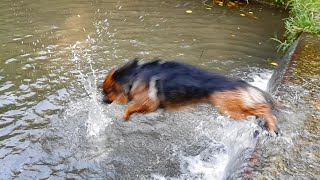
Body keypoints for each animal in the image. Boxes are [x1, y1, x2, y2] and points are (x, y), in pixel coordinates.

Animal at [99, 59, 278, 134]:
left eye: (106, 93)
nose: (102, 102)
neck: (133, 74)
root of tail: (238, 83)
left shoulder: (149, 104)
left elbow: (129, 108)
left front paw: (125, 117)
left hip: (230, 110)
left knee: (263, 108)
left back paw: (271, 124)